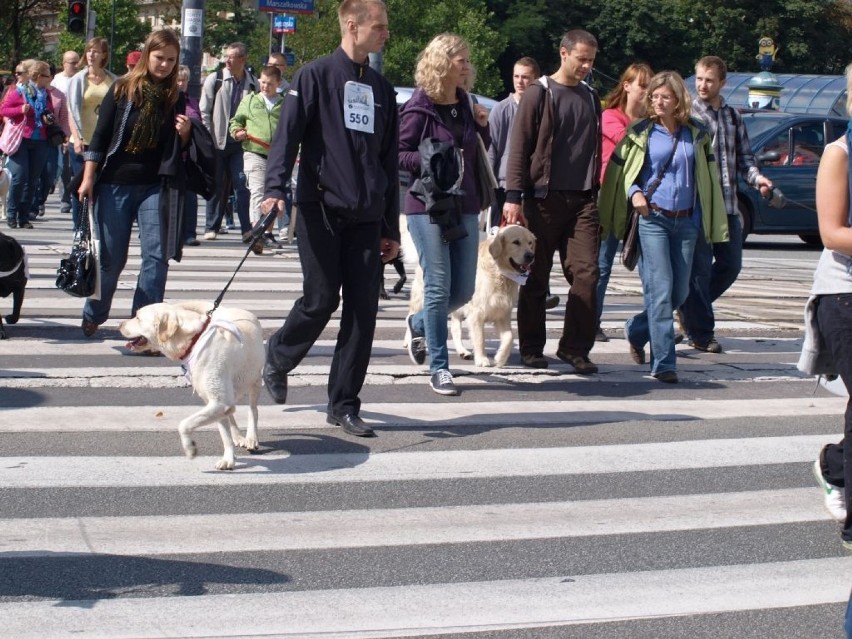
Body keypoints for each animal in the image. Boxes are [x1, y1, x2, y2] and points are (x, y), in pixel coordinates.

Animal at [117, 300, 262, 470]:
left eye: (138, 317)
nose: (119, 324)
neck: (194, 339)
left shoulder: (219, 402)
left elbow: (184, 424)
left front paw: (190, 448)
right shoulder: (216, 402)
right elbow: (224, 434)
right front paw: (228, 458)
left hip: (255, 380)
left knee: (253, 410)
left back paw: (251, 438)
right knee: (231, 414)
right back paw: (238, 437)